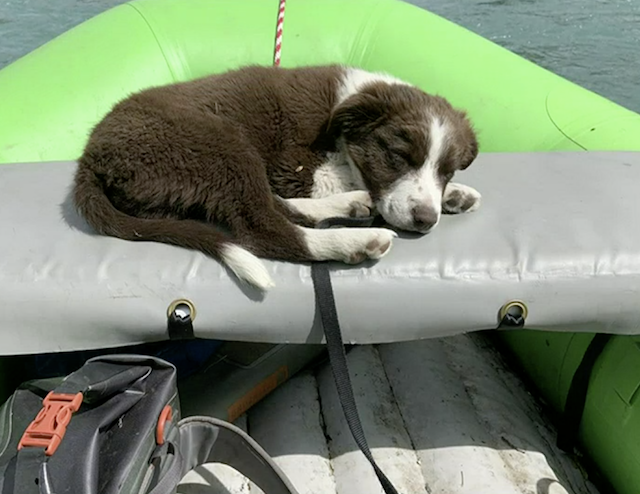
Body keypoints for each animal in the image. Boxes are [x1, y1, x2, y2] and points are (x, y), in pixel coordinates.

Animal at [72, 65, 480, 290]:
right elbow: (347, 177)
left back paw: (348, 207)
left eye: (448, 170)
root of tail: (90, 157)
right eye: (398, 156)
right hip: (218, 141)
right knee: (262, 226)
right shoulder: (292, 165)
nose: (425, 219)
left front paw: (453, 193)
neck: (344, 106)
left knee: (271, 206)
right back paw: (355, 239)